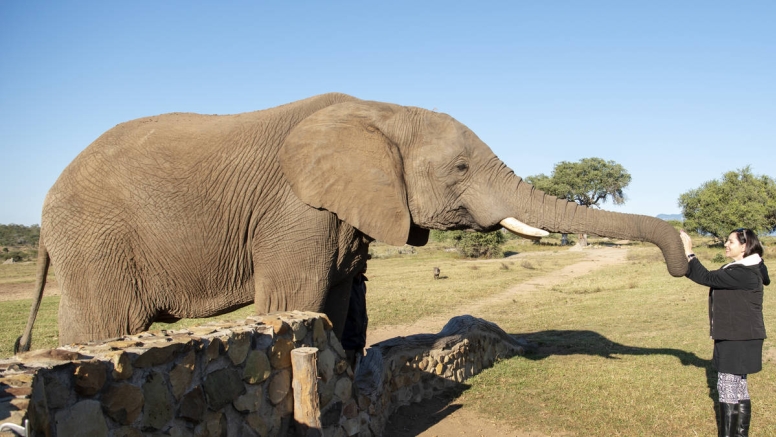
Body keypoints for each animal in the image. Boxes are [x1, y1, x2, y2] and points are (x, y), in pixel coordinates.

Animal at [15, 92, 688, 350]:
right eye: (461, 168)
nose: (687, 263)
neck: (383, 109)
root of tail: (45, 207)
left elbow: (336, 304)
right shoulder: (295, 209)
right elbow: (294, 300)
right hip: (98, 239)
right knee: (108, 325)